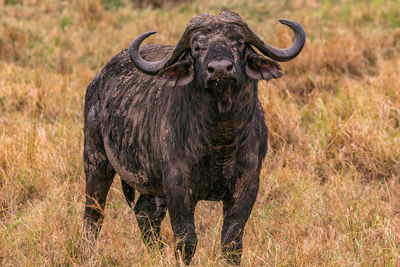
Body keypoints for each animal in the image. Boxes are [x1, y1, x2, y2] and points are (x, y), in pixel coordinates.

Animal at [83, 11, 304, 266]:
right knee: (94, 213)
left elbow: (232, 241)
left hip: (151, 182)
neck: (221, 140)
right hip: (96, 159)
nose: (220, 69)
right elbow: (186, 240)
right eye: (197, 46)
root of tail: (98, 80)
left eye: (238, 41)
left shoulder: (247, 184)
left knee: (145, 213)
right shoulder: (177, 185)